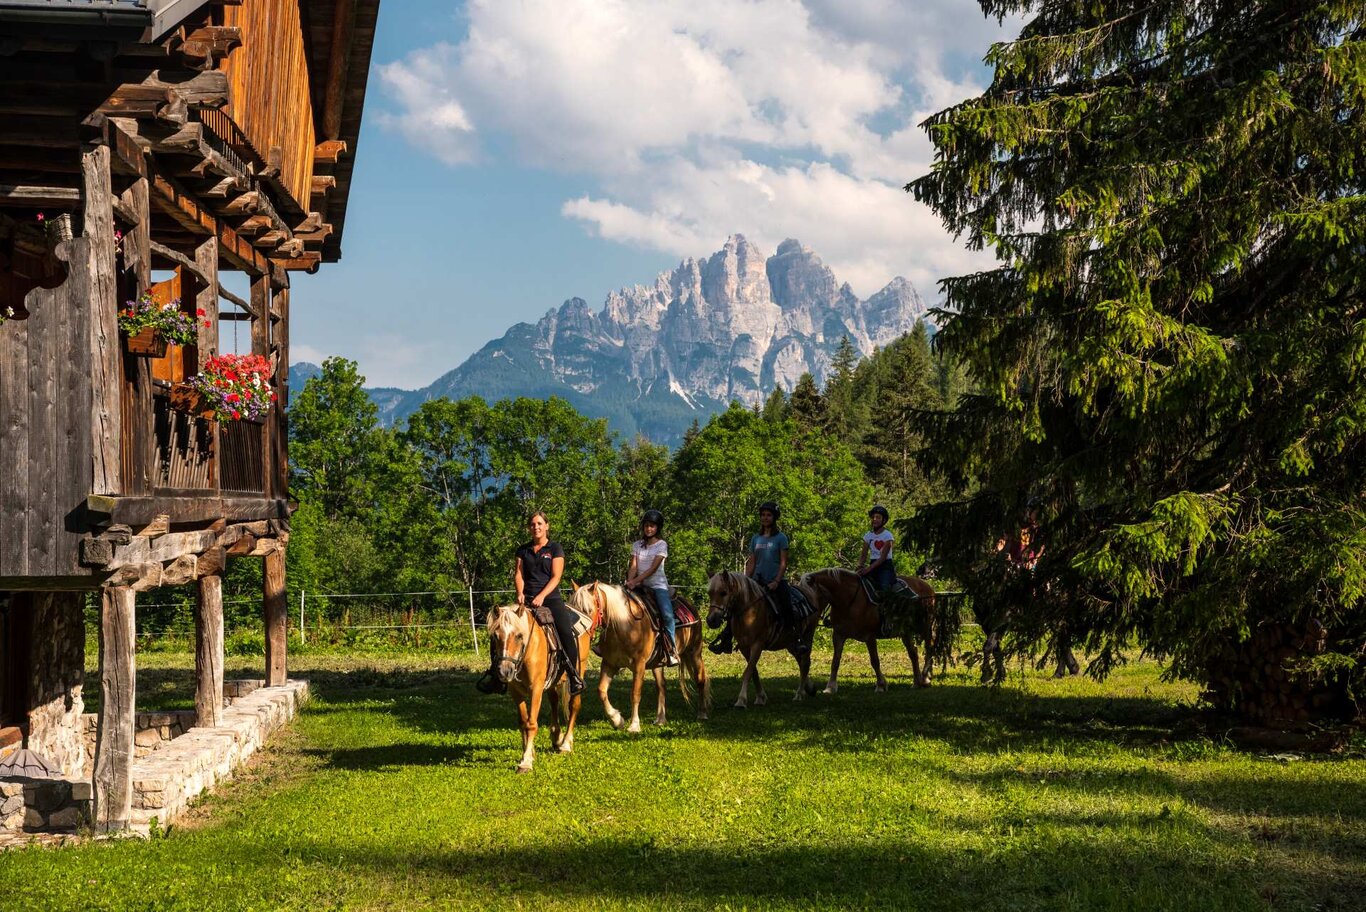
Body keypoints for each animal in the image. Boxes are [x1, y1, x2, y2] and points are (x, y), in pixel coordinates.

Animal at [486, 600, 592, 775]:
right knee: (554, 701)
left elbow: (531, 724)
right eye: (495, 636)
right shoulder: (515, 692)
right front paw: (528, 753)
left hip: (580, 669)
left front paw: (526, 762)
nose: (504, 671)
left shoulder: (536, 689)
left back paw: (566, 744)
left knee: (574, 705)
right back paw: (556, 737)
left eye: (519, 635)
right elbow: (523, 722)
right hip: (552, 681)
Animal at [568, 584, 715, 731]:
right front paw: (616, 720)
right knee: (661, 686)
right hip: (657, 663)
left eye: (588, 609)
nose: (579, 633)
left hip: (694, 652)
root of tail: (689, 605)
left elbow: (635, 694)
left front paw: (634, 725)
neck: (624, 625)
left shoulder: (639, 665)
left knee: (700, 680)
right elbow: (601, 690)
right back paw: (660, 719)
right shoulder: (609, 663)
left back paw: (702, 714)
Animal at [704, 570, 819, 709]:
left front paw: (741, 700)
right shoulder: (744, 647)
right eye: (710, 593)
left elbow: (748, 671)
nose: (711, 620)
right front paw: (761, 697)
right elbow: (753, 671)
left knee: (805, 663)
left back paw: (799, 694)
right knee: (801, 661)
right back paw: (810, 688)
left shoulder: (757, 645)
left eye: (723, 592)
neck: (749, 612)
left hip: (808, 636)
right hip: (791, 643)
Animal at [803, 565, 945, 688]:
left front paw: (881, 685)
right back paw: (916, 682)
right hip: (906, 632)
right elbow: (835, 661)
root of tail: (928, 588)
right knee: (913, 653)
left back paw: (926, 678)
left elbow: (875, 661)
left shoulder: (869, 637)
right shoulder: (838, 635)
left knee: (929, 648)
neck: (849, 600)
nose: (807, 618)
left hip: (925, 627)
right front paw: (830, 687)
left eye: (809, 595)